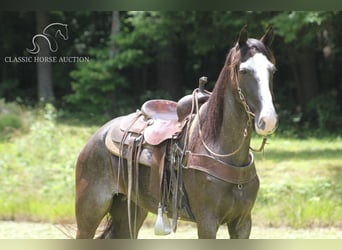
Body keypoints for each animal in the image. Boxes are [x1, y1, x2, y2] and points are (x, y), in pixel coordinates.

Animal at [75, 26, 278, 239]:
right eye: (244, 71)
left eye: (272, 70)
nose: (268, 120)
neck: (218, 147)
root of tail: (99, 135)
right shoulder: (207, 222)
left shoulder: (243, 223)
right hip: (89, 215)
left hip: (131, 209)